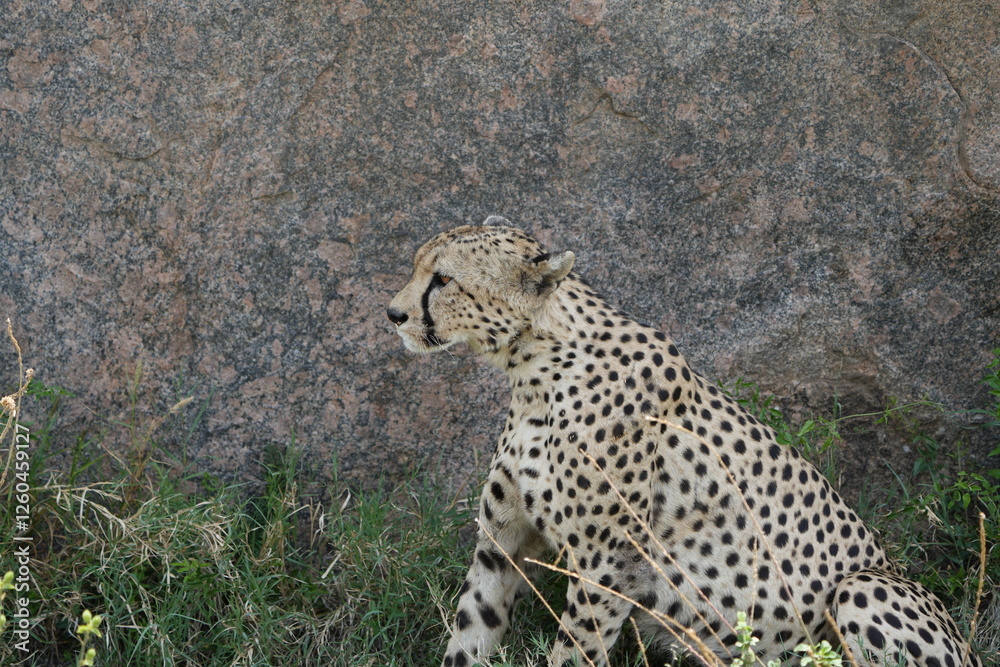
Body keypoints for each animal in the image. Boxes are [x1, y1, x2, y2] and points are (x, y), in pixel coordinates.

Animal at [386, 219, 982, 667]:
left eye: (443, 279)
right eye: (420, 267)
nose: (394, 314)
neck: (535, 369)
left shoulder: (609, 562)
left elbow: (575, 650)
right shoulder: (500, 545)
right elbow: (471, 632)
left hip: (864, 587)